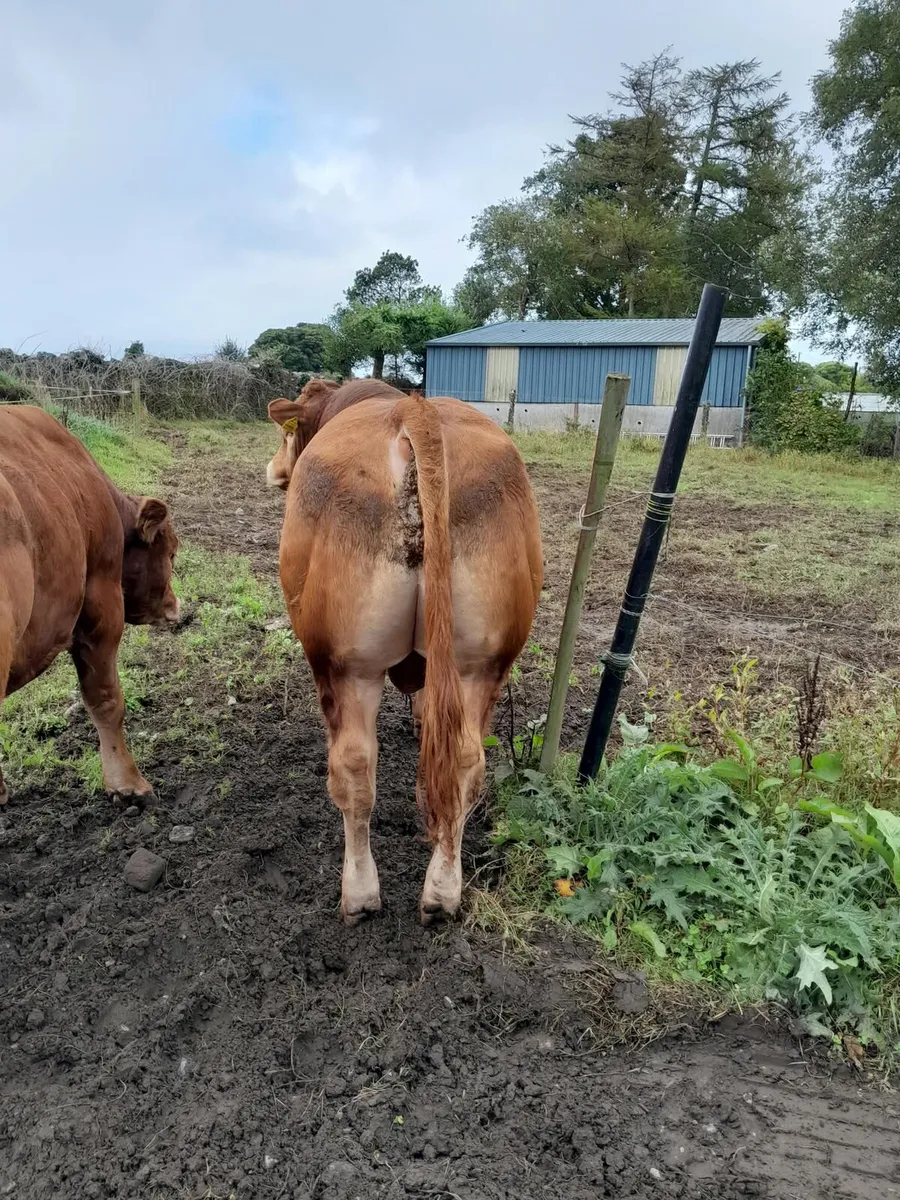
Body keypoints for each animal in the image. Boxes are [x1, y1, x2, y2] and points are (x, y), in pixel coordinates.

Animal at [266, 378, 543, 925]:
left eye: (287, 435)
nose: (274, 469)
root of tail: (414, 412)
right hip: (482, 664)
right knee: (464, 762)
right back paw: (443, 893)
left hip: (346, 666)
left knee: (353, 769)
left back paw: (359, 895)